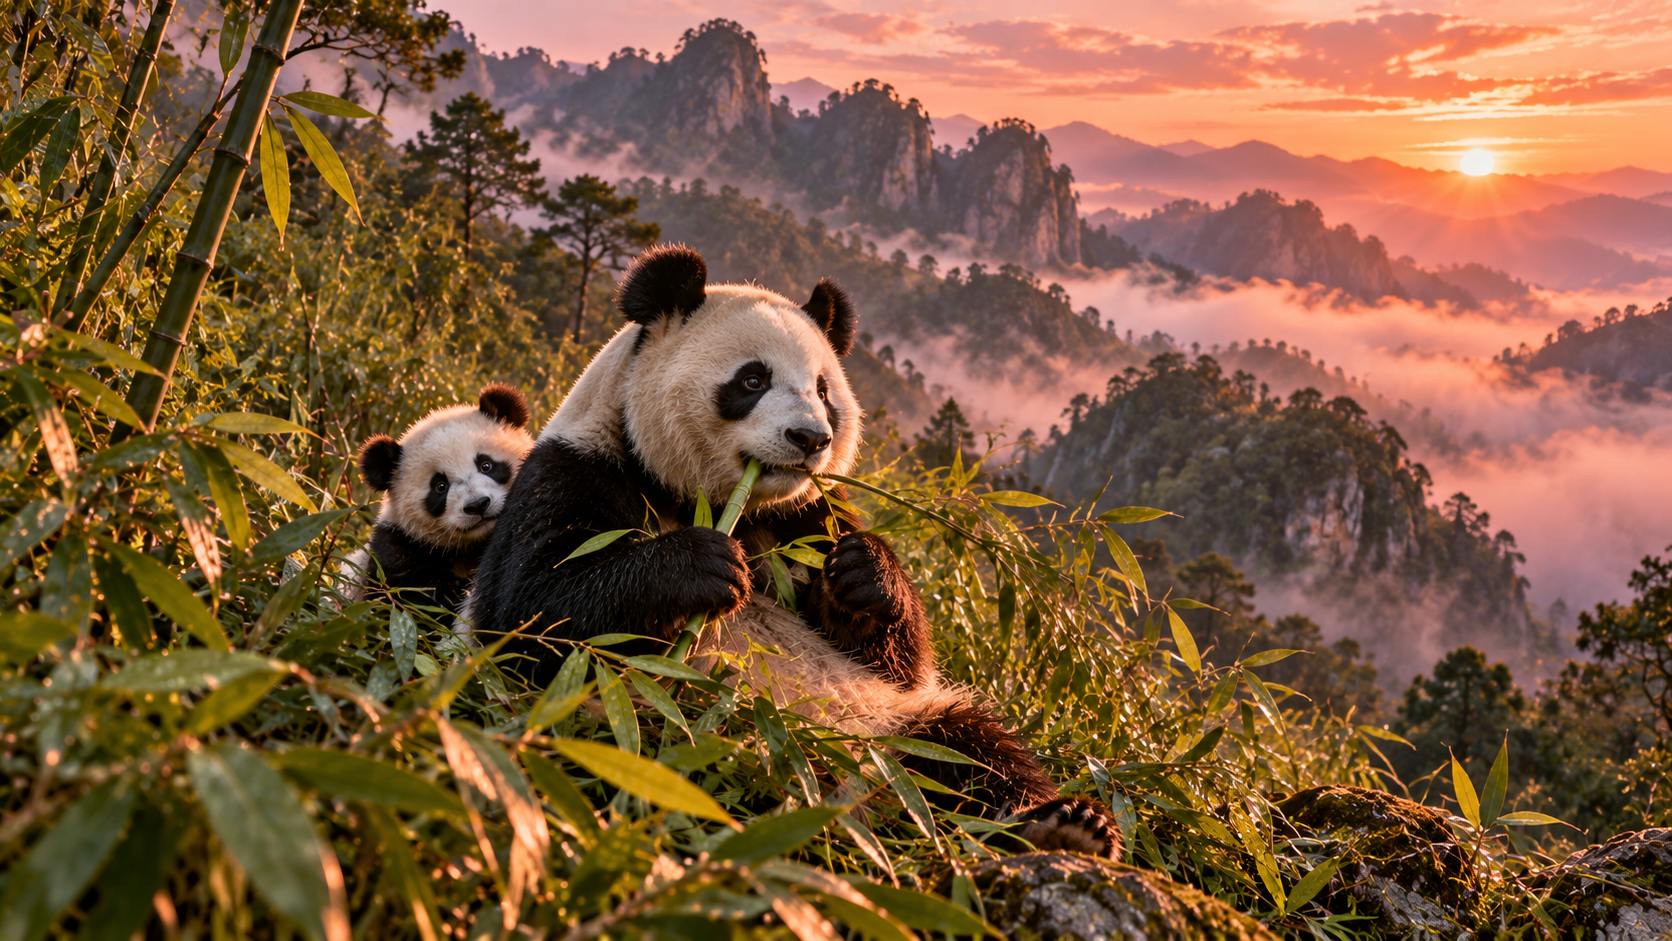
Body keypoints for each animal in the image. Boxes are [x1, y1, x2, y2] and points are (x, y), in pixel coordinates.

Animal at [347, 384, 534, 616]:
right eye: (440, 487)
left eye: (486, 465)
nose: (478, 505)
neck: (469, 548)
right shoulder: (396, 551)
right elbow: (405, 595)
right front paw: (447, 594)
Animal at [468, 246, 1117, 858]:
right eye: (752, 380)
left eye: (824, 392)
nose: (810, 439)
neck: (709, 499)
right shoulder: (577, 471)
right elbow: (535, 616)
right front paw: (701, 568)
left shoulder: (806, 517)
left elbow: (902, 661)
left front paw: (863, 575)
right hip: (657, 723)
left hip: (888, 725)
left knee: (971, 748)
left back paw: (1064, 826)